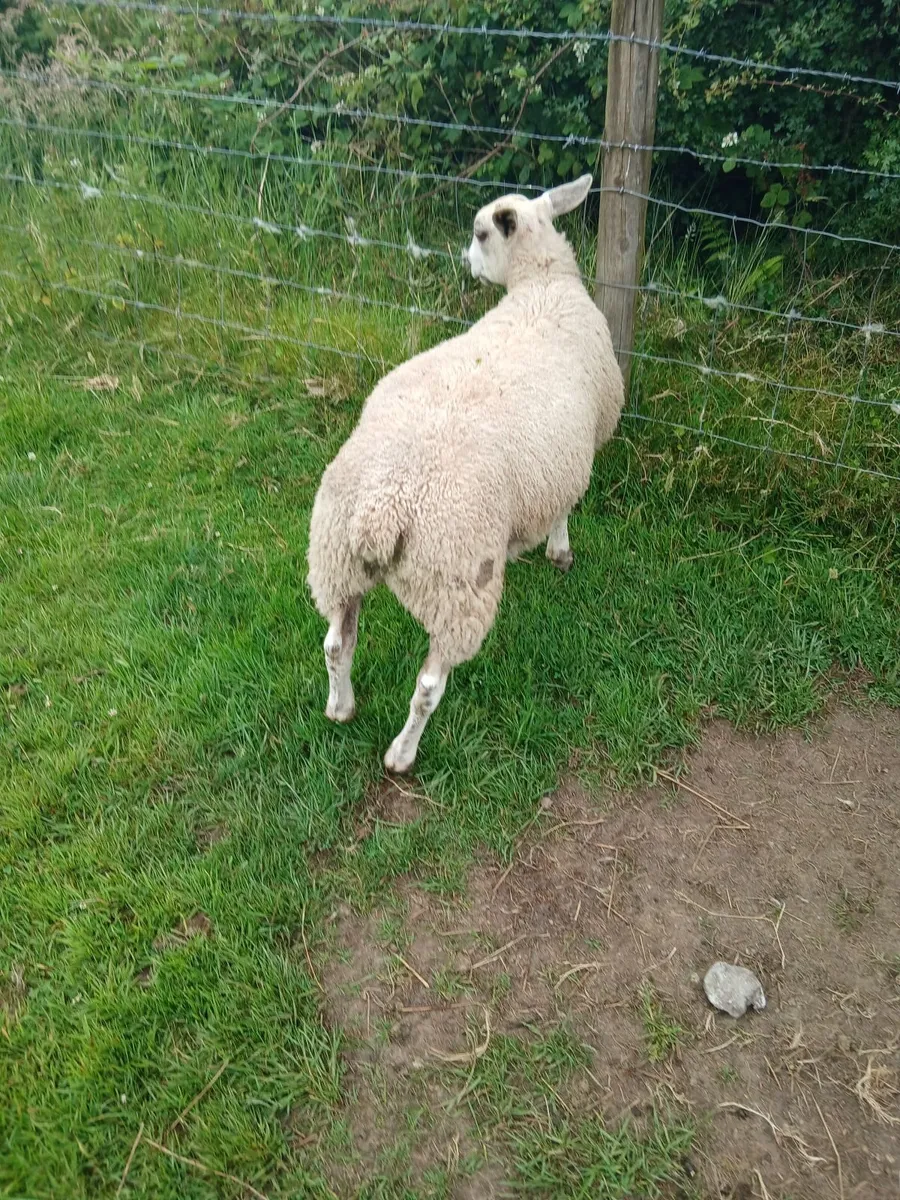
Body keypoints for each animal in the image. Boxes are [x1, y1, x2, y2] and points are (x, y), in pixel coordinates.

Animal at [307, 173, 625, 773]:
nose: (465, 261)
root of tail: (382, 512)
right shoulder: (580, 450)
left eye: (480, 234)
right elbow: (565, 508)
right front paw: (560, 552)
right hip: (458, 584)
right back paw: (401, 753)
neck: (542, 284)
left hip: (335, 559)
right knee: (429, 685)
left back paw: (340, 708)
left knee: (337, 644)